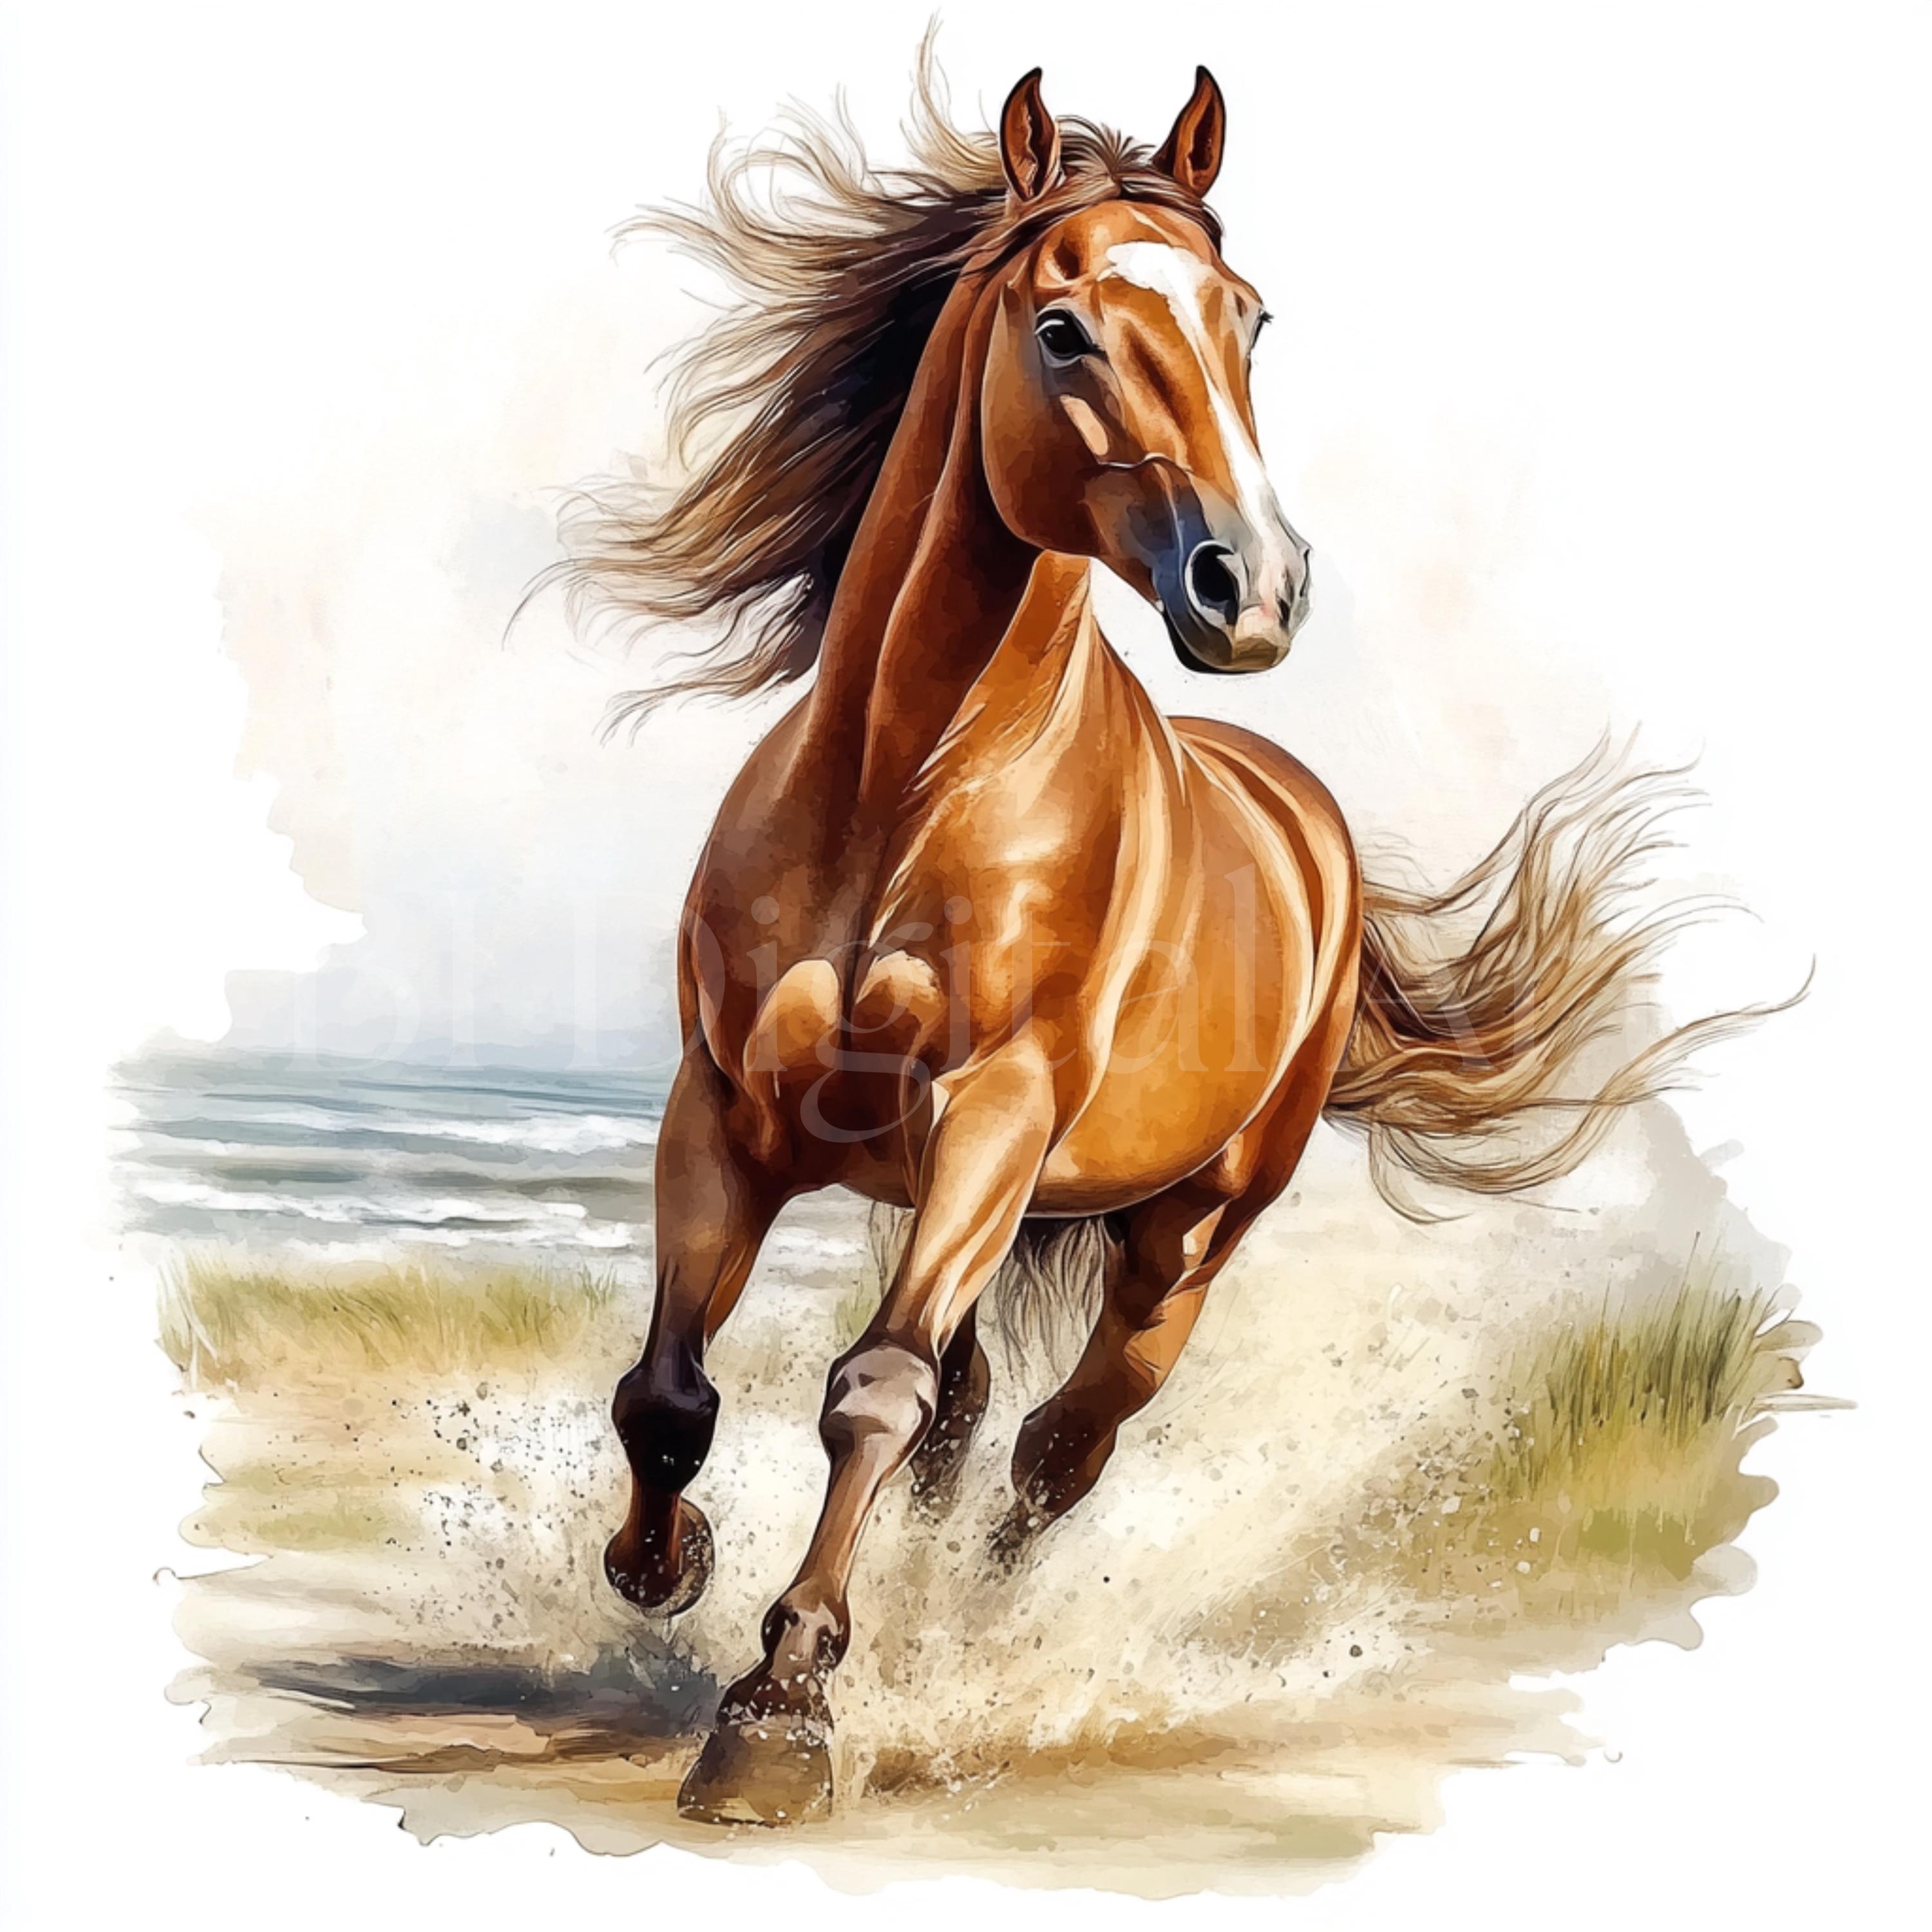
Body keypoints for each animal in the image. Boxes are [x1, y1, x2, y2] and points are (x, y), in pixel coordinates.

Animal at [555, 62, 1752, 1827]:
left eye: (1248, 319)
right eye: (1063, 332)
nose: (1251, 590)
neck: (904, 783)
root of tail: (1310, 825)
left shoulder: (993, 1114)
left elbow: (872, 1390)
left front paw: (778, 1713)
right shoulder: (725, 1110)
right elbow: (673, 1393)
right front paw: (666, 1566)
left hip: (1172, 1246)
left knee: (1055, 1452)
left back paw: (972, 1648)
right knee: (976, 1419)